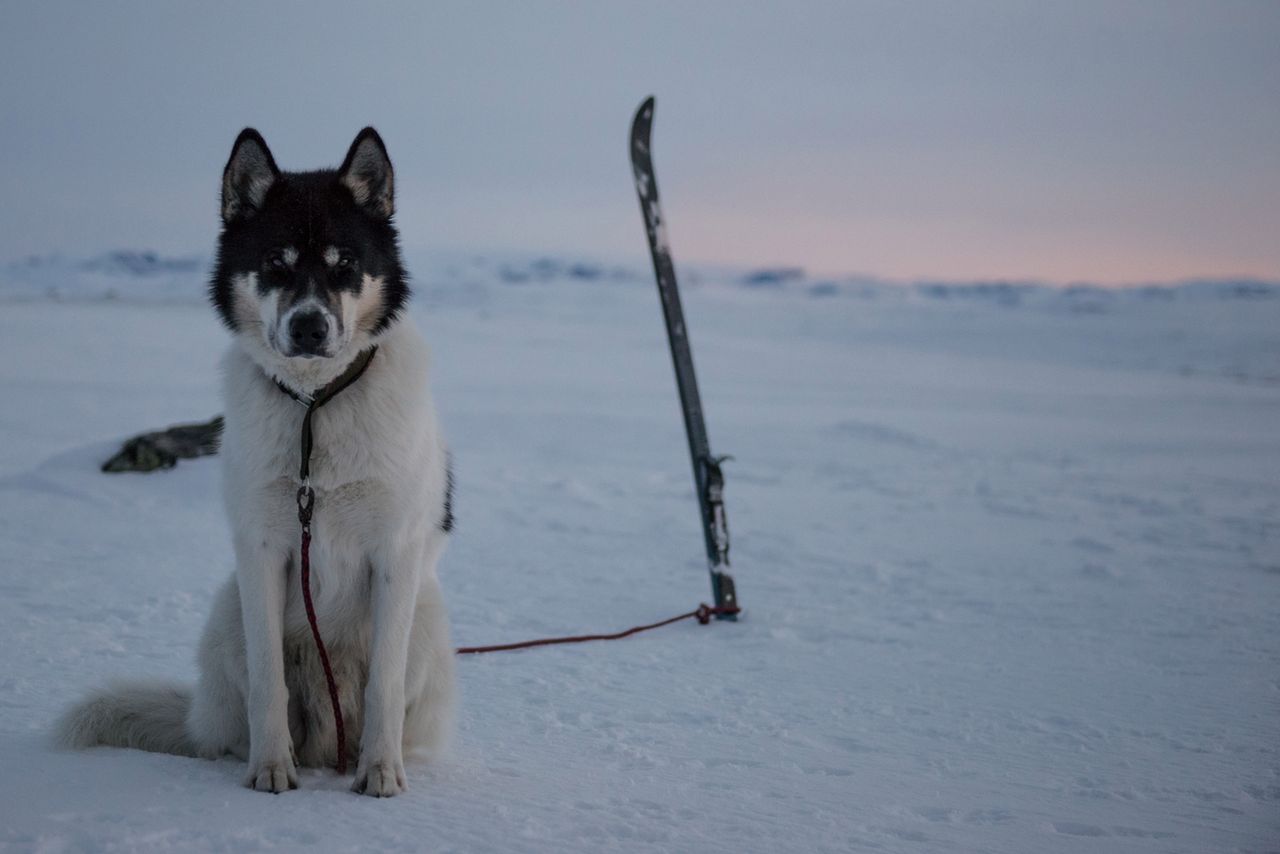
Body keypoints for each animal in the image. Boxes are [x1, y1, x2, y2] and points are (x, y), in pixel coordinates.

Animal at [57, 130, 455, 798]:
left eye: (345, 264)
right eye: (276, 263)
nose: (310, 326)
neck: (315, 406)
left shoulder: (395, 555)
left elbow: (384, 685)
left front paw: (380, 772)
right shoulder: (263, 552)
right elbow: (269, 683)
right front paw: (270, 769)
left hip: (427, 616)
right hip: (228, 611)